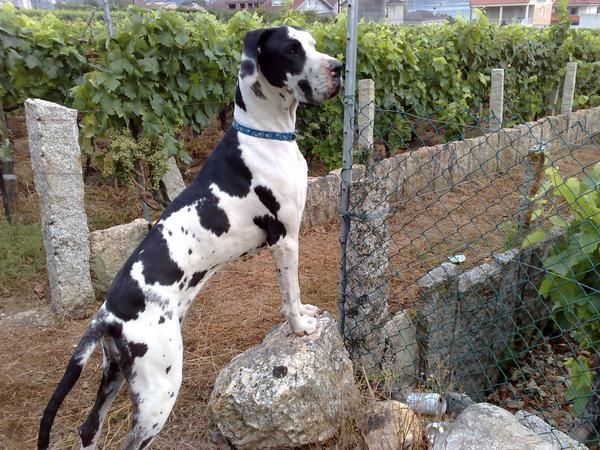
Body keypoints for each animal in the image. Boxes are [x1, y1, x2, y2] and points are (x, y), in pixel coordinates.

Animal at [37, 26, 342, 448]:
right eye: (293, 50)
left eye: (312, 43)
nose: (339, 67)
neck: (265, 135)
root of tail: (108, 314)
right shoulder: (284, 239)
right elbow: (289, 294)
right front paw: (300, 328)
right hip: (158, 390)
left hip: (114, 372)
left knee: (88, 427)